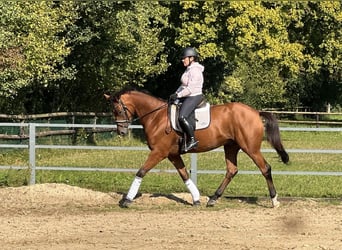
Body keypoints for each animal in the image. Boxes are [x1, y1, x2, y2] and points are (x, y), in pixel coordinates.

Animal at [104, 87, 288, 208]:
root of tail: (255, 112)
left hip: (250, 148)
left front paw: (127, 200)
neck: (156, 117)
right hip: (231, 146)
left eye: (118, 110)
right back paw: (213, 199)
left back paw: (274, 200)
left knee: (265, 168)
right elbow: (184, 175)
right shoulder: (172, 155)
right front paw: (196, 198)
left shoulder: (159, 152)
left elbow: (141, 171)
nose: (121, 132)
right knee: (231, 170)